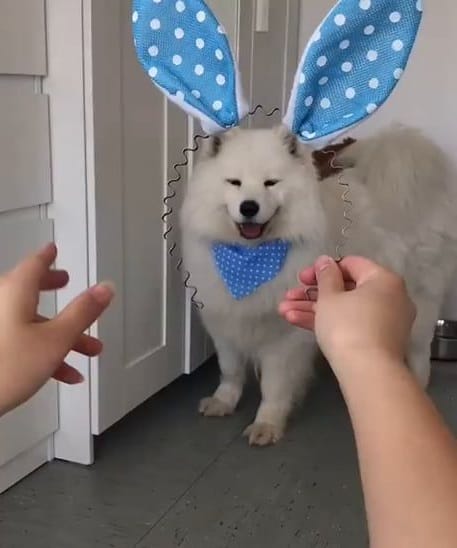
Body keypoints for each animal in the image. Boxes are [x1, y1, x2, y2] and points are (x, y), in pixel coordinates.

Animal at [180, 124, 457, 446]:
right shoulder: (223, 322)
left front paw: (267, 424)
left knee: (419, 349)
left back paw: (415, 385)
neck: (250, 259)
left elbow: (273, 386)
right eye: (234, 182)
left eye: (270, 183)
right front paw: (223, 401)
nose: (249, 207)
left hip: (419, 298)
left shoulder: (284, 337)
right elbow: (230, 370)